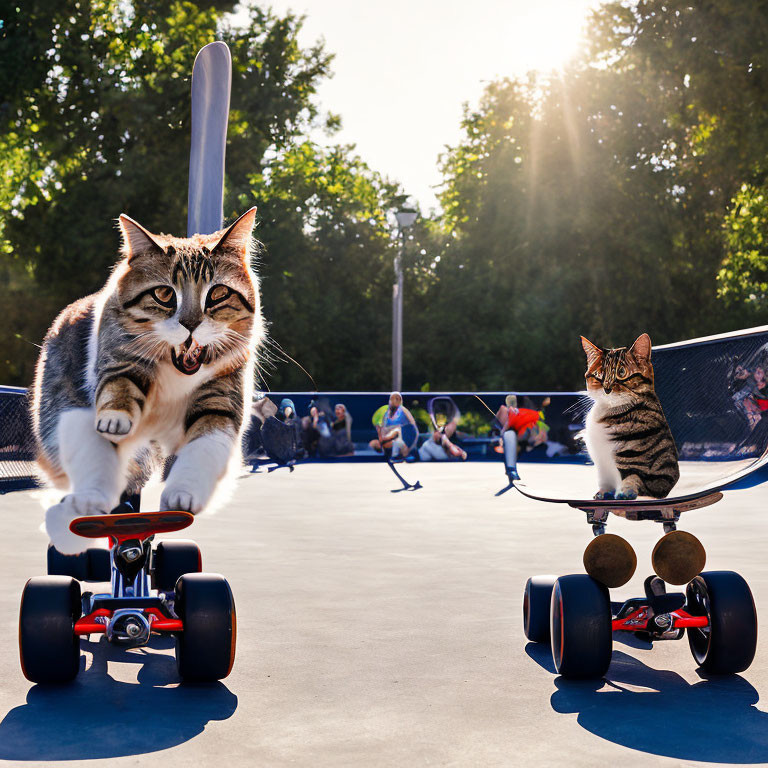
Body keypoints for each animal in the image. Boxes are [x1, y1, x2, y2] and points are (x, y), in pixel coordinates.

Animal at [584, 332, 680, 500]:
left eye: (621, 373)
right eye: (599, 375)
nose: (607, 388)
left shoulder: (653, 472)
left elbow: (635, 478)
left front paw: (626, 492)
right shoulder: (602, 465)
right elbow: (605, 482)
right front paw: (603, 493)